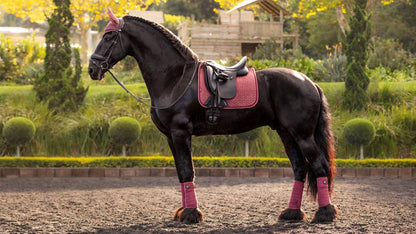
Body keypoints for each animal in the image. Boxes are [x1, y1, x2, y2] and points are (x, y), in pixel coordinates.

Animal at [88, 9, 338, 225]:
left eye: (109, 36)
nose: (92, 69)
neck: (176, 79)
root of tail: (309, 82)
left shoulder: (180, 133)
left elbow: (187, 171)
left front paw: (190, 213)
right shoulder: (171, 137)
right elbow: (181, 173)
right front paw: (184, 211)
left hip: (303, 135)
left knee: (319, 166)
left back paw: (324, 213)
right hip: (287, 134)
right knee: (300, 169)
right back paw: (292, 213)